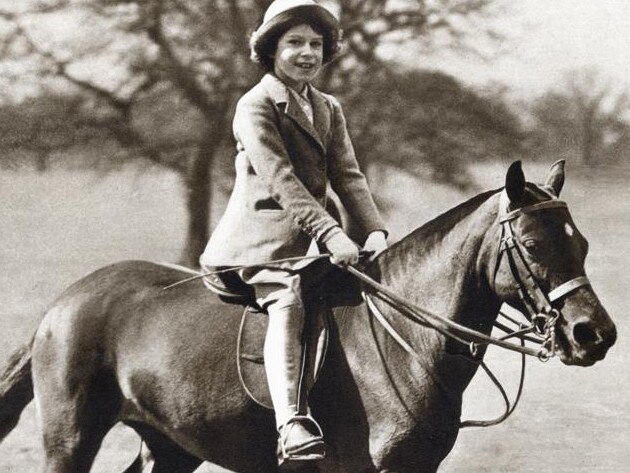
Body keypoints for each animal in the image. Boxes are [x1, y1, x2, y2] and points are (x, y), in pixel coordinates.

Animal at [0, 160, 616, 470]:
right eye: (533, 244)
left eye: (582, 243)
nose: (596, 335)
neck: (403, 342)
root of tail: (61, 303)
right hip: (70, 440)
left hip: (172, 447)